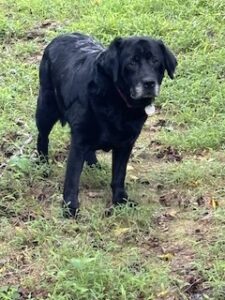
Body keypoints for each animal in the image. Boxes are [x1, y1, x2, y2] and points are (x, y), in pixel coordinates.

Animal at [35, 32, 177, 216]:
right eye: (132, 62)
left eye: (155, 60)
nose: (149, 83)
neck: (117, 100)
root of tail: (60, 36)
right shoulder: (79, 140)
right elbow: (72, 178)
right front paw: (70, 207)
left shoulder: (126, 143)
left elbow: (119, 175)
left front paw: (120, 200)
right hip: (46, 108)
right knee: (42, 137)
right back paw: (43, 165)